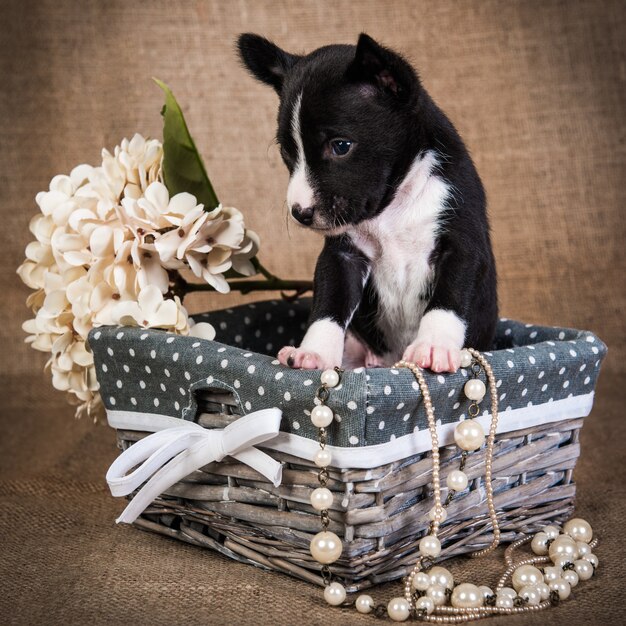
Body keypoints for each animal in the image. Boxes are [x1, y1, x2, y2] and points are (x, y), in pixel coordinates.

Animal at [236, 33, 494, 370]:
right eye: (286, 153)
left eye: (341, 146)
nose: (301, 213)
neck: (394, 207)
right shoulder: (343, 257)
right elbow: (328, 308)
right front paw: (315, 351)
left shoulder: (462, 246)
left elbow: (447, 300)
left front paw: (434, 345)